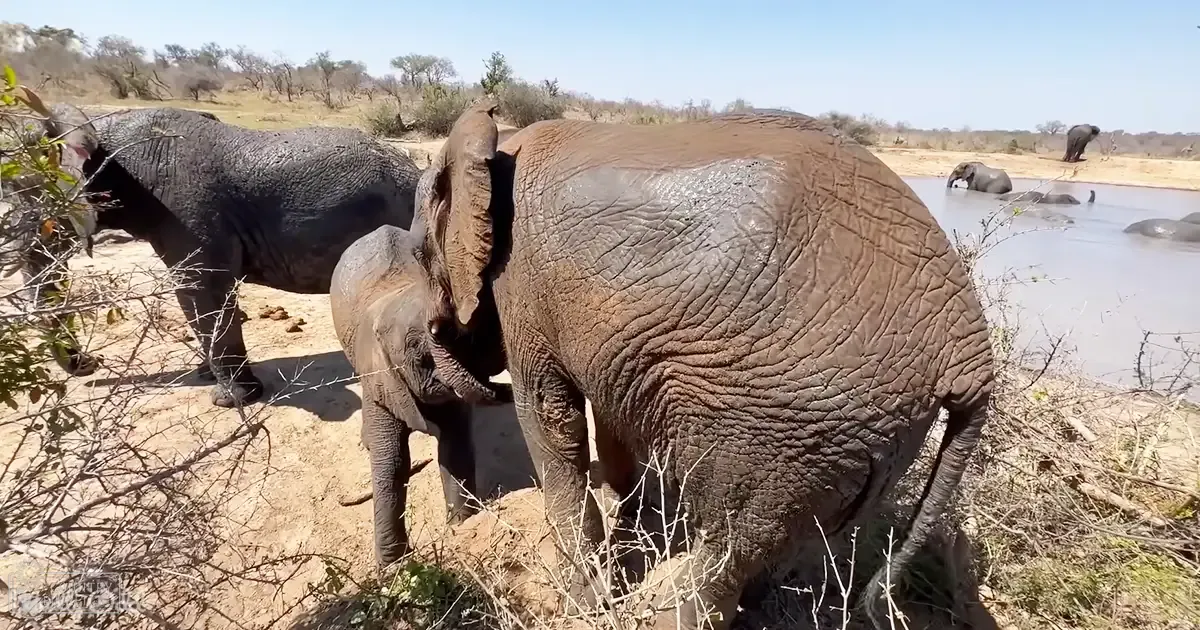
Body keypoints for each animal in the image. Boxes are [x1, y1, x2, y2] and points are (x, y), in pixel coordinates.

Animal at [12, 88, 421, 407]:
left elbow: (201, 288)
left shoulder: (184, 209)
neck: (97, 125)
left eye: (30, 200)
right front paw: (205, 376)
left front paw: (230, 399)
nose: (89, 365)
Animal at [329, 221, 512, 569]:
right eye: (418, 350)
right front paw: (392, 567)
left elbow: (456, 446)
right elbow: (393, 460)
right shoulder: (380, 376)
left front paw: (463, 528)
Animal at [414, 102, 995, 630]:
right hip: (863, 434)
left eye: (422, 253)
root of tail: (973, 358)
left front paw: (584, 603)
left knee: (730, 548)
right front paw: (626, 535)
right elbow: (607, 415)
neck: (494, 143)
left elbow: (551, 418)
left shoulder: (522, 283)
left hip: (795, 423)